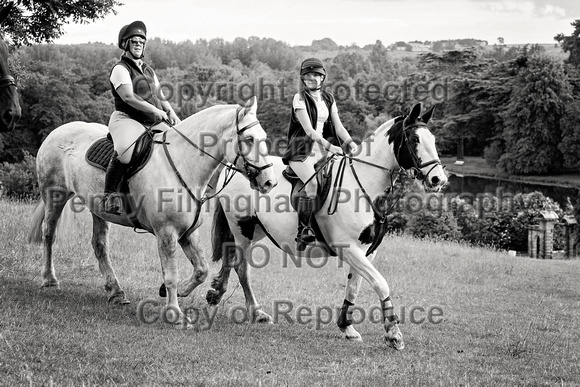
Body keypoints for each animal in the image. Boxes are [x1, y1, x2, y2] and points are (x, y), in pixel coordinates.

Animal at [28, 98, 278, 328]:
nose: (269, 183)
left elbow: (201, 270)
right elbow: (171, 274)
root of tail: (59, 130)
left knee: (99, 245)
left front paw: (177, 292)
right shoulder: (166, 232)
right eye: (249, 139)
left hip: (97, 208)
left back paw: (115, 291)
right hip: (55, 195)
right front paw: (175, 313)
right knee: (49, 234)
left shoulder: (189, 232)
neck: (184, 164)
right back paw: (49, 279)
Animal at [208, 104, 448, 352]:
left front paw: (347, 327)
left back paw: (216, 293)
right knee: (241, 267)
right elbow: (381, 284)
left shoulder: (366, 251)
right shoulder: (349, 248)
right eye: (415, 139)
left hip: (256, 231)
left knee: (229, 257)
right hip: (242, 229)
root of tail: (234, 169)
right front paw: (394, 334)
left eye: (433, 139)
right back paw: (256, 312)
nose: (438, 179)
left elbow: (354, 286)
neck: (364, 185)